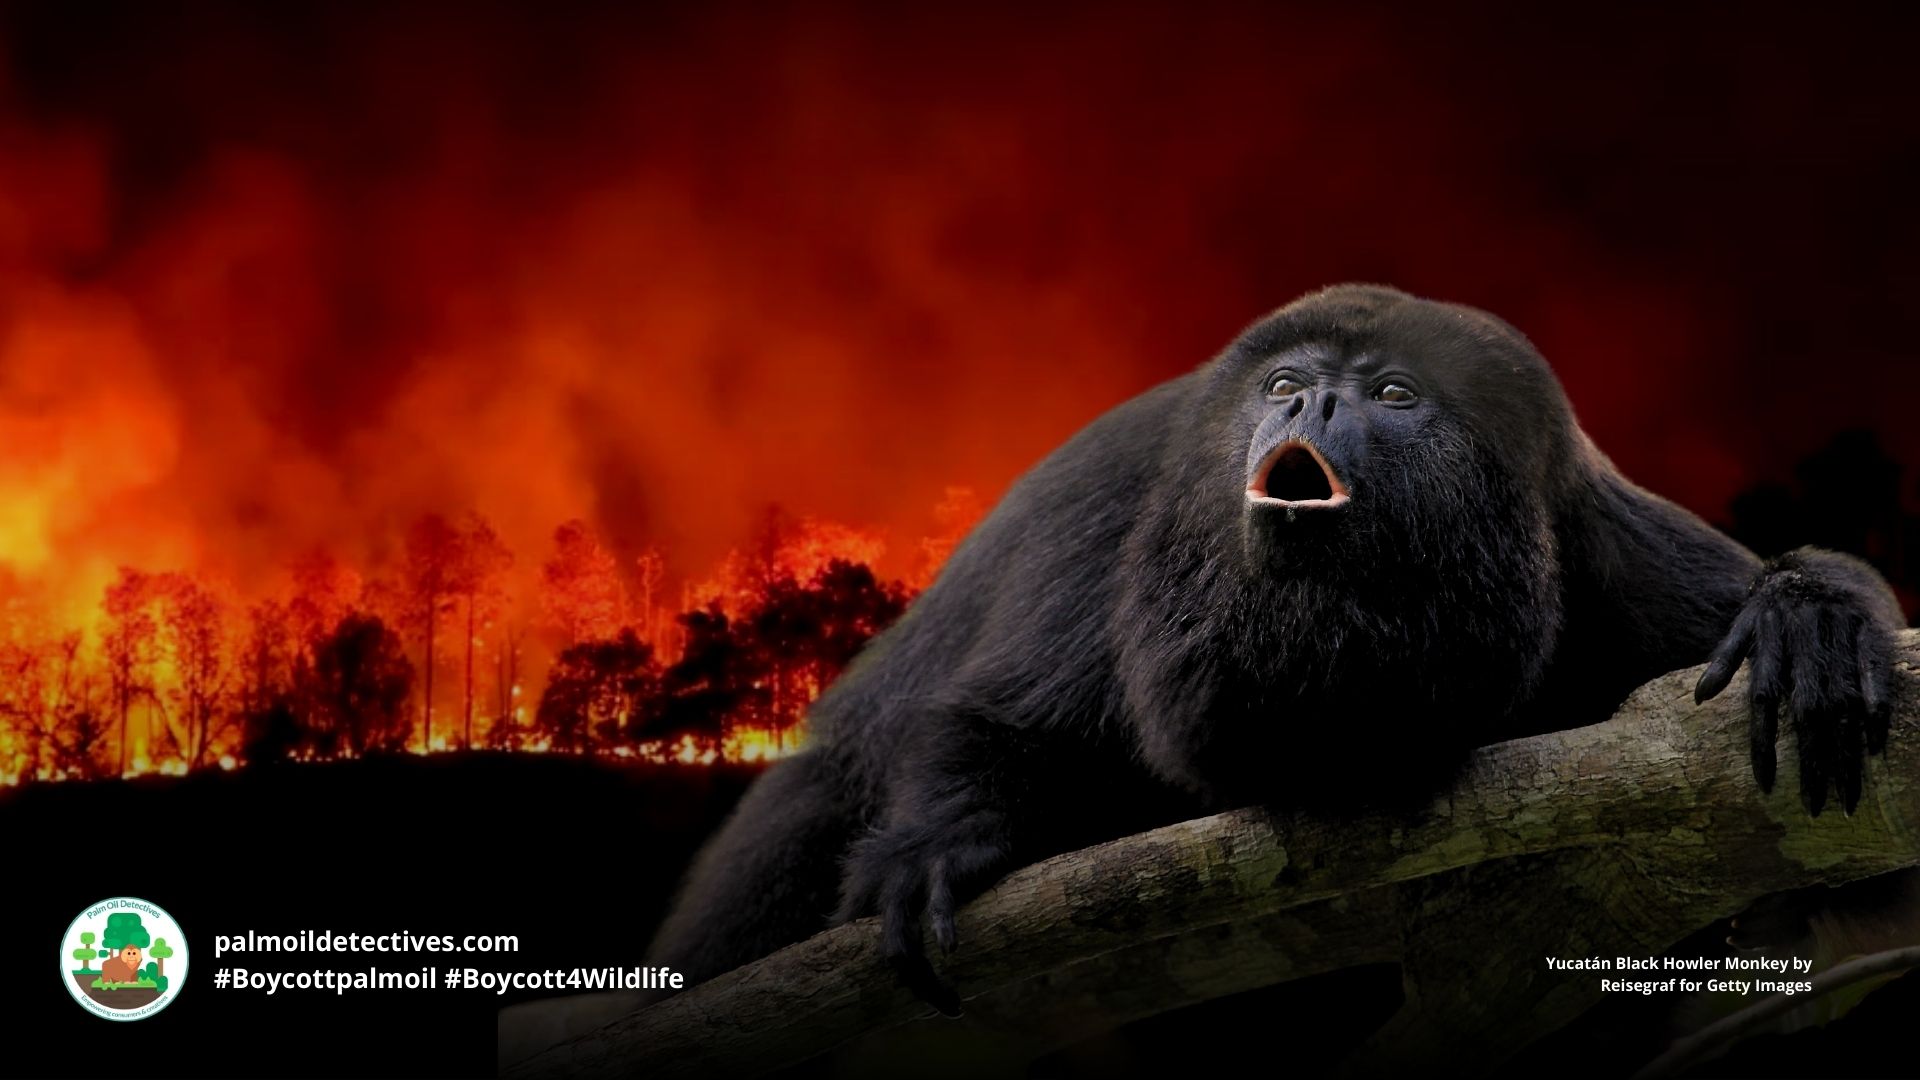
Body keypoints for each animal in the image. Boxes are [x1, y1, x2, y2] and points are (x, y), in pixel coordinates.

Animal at [643, 283, 1905, 1017]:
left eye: (1392, 393)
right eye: (1287, 383)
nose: (1312, 408)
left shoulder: (1584, 525)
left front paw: (1808, 618)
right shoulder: (1131, 500)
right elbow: (1005, 719)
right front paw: (939, 843)